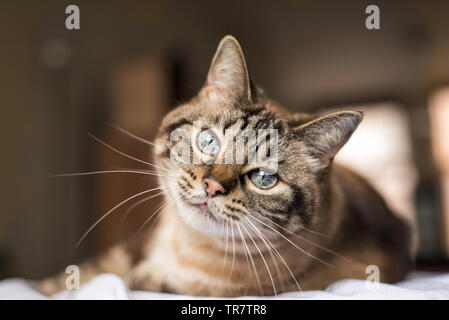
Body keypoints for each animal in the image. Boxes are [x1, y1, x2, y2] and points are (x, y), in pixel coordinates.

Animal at [40, 36, 412, 296]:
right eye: (208, 142)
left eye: (264, 178)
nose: (212, 186)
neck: (185, 247)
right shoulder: (137, 245)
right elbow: (81, 274)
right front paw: (45, 287)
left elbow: (130, 280)